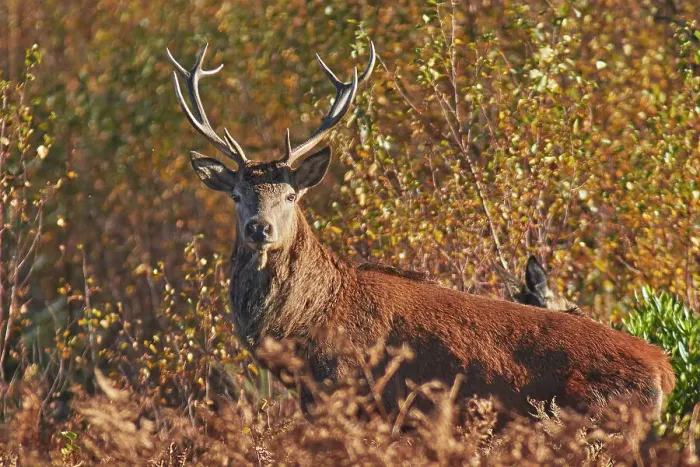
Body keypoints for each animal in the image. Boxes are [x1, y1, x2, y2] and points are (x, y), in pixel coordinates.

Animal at [166, 42, 675, 425]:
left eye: (291, 196)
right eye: (237, 196)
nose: (260, 228)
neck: (305, 328)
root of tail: (665, 370)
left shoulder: (352, 395)